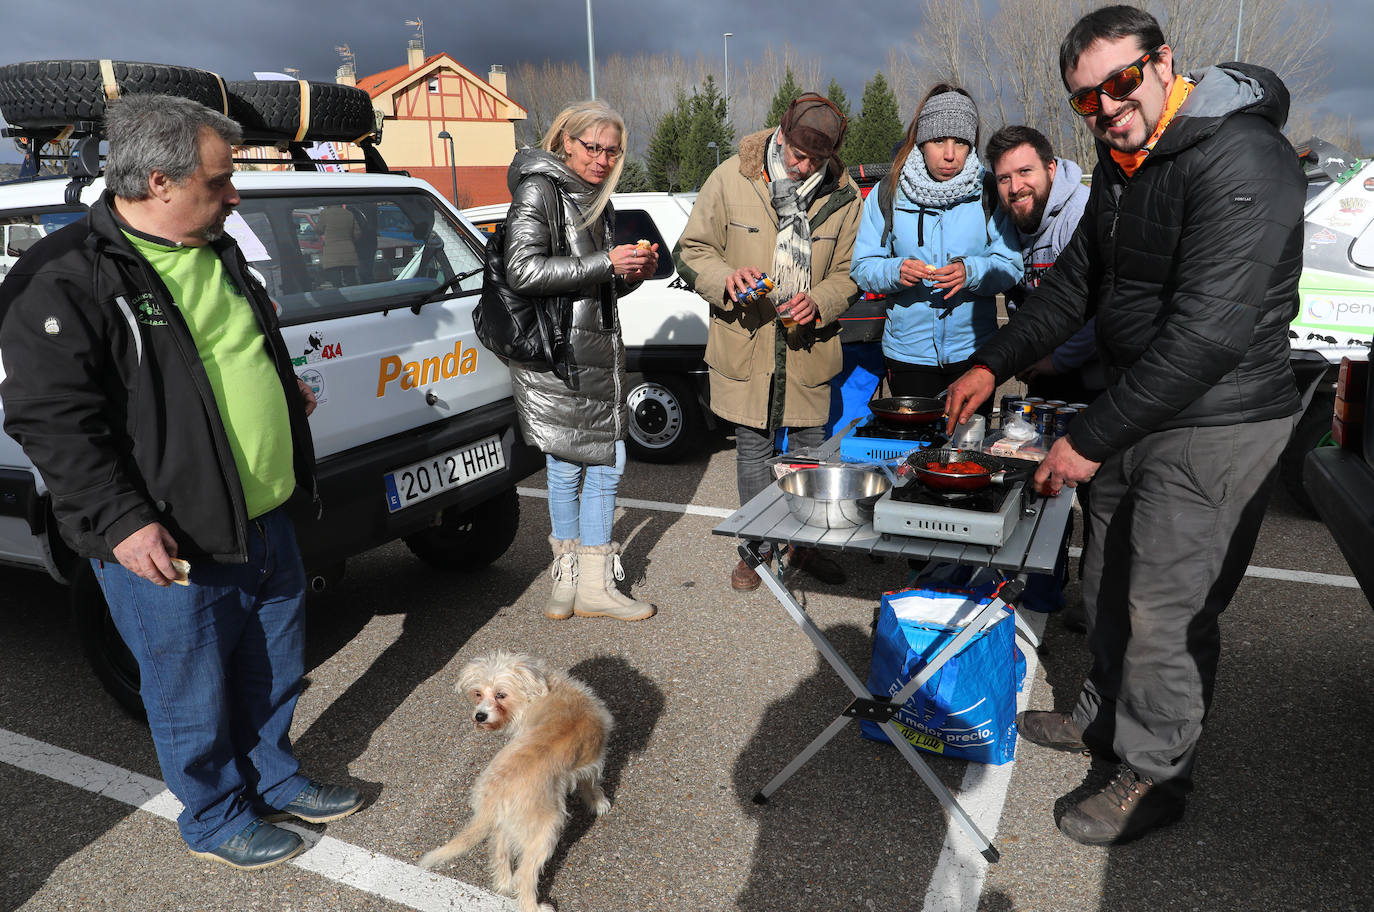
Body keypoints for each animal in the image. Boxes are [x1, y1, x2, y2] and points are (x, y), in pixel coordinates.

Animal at [417, 651, 612, 906]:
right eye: (478, 693)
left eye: (500, 694)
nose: (480, 716)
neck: (540, 693)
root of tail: (494, 796)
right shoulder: (592, 762)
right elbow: (591, 785)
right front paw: (599, 803)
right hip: (545, 828)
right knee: (525, 875)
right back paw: (535, 905)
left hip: (510, 823)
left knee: (500, 850)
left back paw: (503, 884)